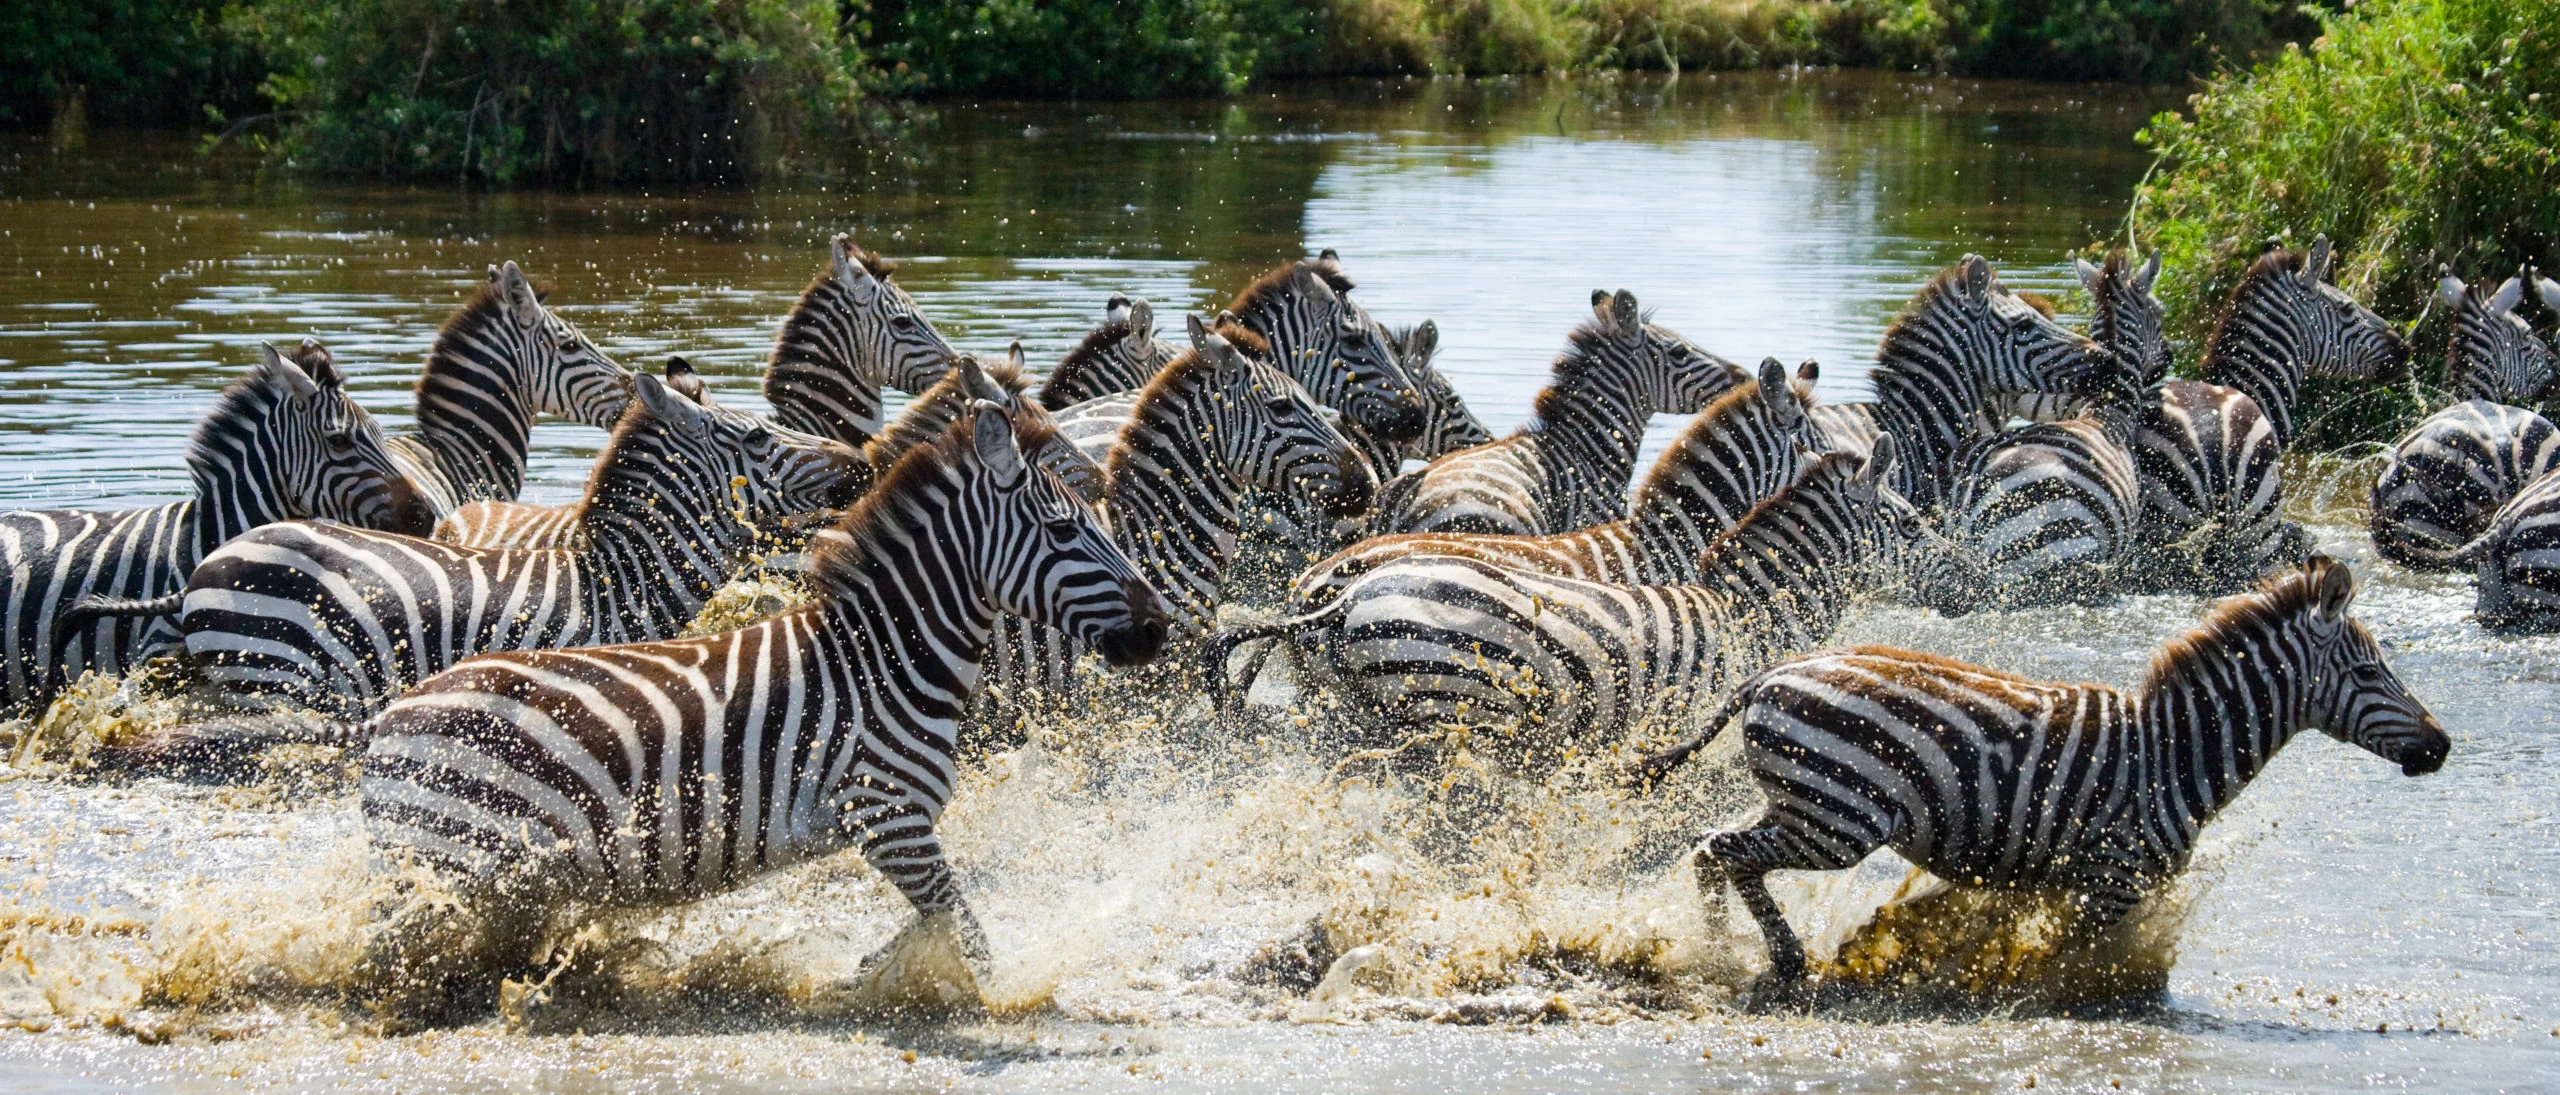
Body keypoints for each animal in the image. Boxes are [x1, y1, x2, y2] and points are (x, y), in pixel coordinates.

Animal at [356, 403, 1168, 1009]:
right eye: (1064, 530)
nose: (1158, 626)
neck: (884, 662)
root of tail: (393, 717)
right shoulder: (888, 817)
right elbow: (964, 925)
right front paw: (999, 996)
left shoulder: (895, 832)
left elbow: (931, 925)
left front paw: (869, 975)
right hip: (450, 862)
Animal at [1206, 440, 1931, 755]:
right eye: (1911, 526)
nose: (1955, 573)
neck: (1747, 615)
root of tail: (1329, 594)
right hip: (1445, 701)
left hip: (1348, 708)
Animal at [1627, 554, 2448, 991]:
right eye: (2371, 671)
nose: (2441, 746)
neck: (2176, 751)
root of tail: (1770, 674)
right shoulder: (2109, 882)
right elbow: (2052, 956)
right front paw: (2020, 986)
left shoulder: (2058, 879)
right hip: (1835, 819)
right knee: (1724, 852)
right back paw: (1751, 954)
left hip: (1805, 804)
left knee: (1711, 848)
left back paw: (1738, 951)